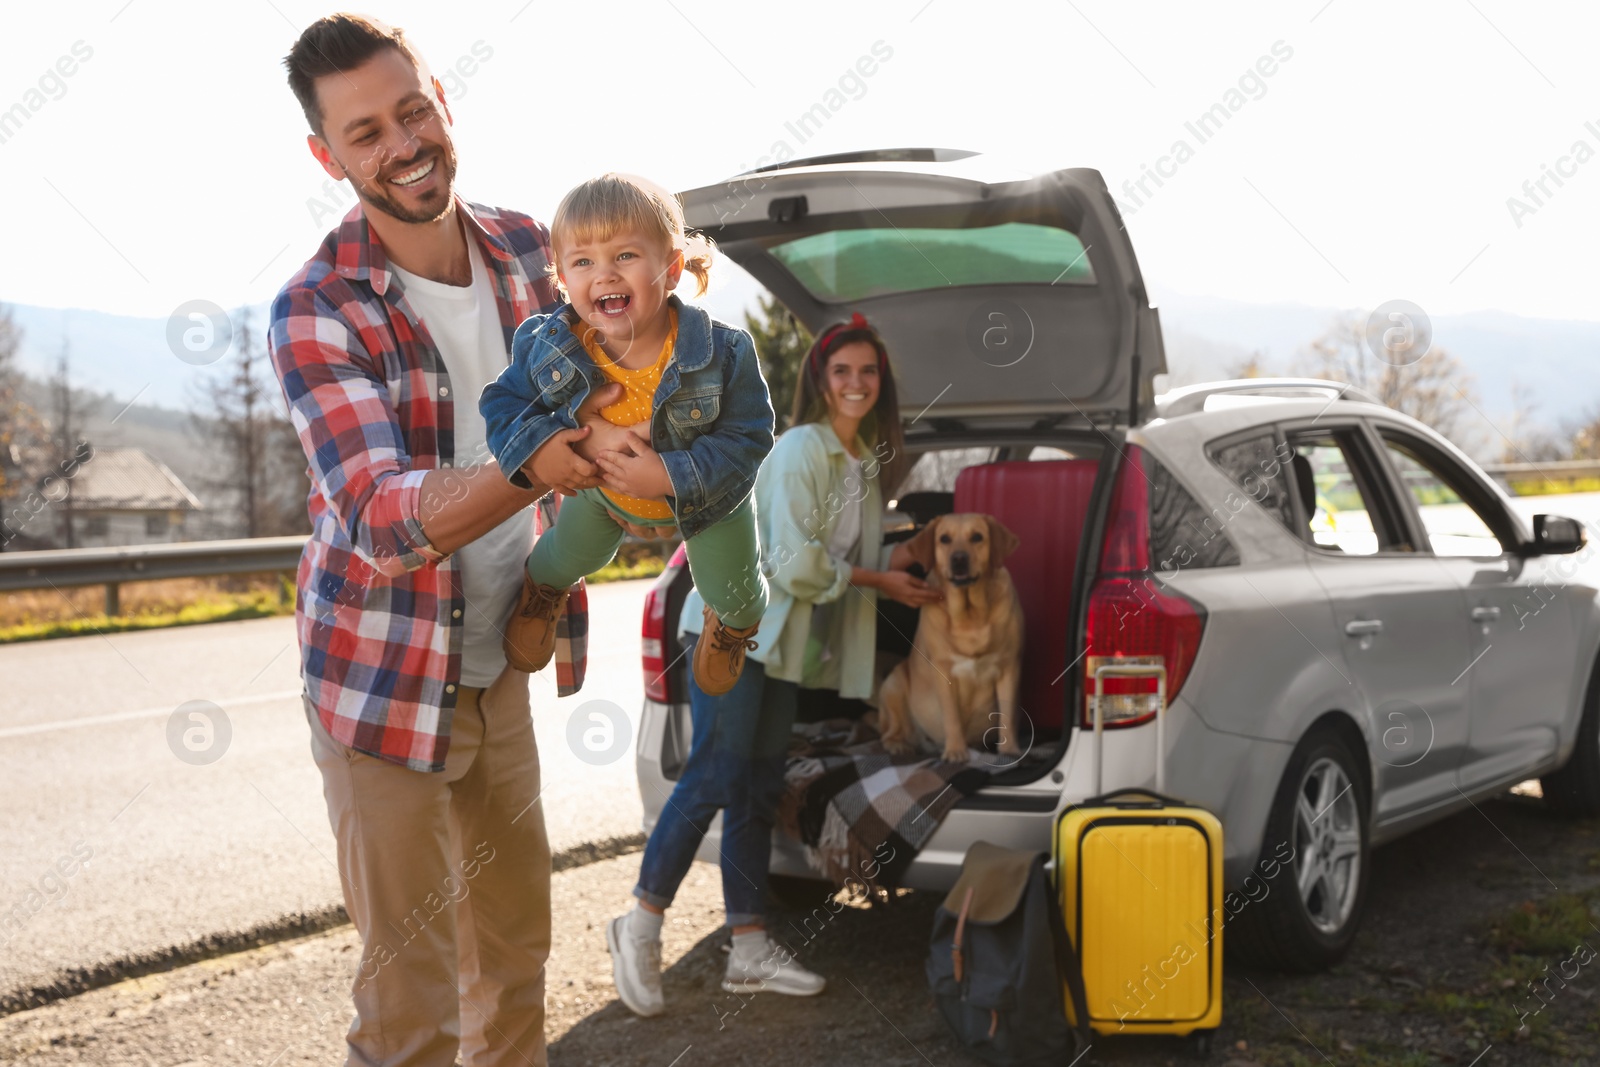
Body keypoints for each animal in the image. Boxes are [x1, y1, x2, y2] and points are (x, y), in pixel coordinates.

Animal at [876, 511, 1024, 764]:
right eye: (944, 539)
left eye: (977, 537)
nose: (959, 558)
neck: (970, 614)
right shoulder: (943, 672)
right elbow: (951, 716)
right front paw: (955, 750)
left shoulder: (1009, 667)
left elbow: (1008, 714)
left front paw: (1009, 750)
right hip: (894, 685)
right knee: (889, 732)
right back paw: (899, 745)